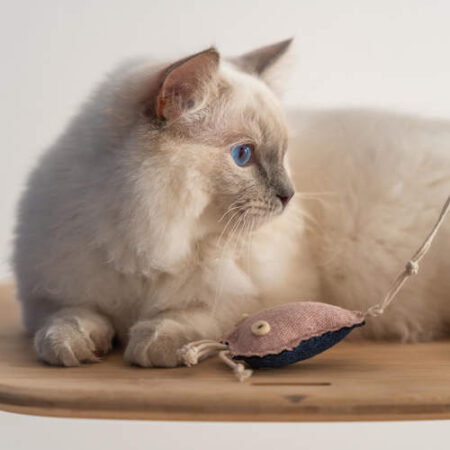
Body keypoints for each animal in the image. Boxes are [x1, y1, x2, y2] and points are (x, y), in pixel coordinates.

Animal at [12, 40, 448, 368]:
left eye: (283, 154)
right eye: (243, 155)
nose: (289, 195)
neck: (148, 245)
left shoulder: (261, 296)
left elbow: (198, 317)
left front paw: (151, 344)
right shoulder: (51, 297)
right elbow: (68, 321)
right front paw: (74, 348)